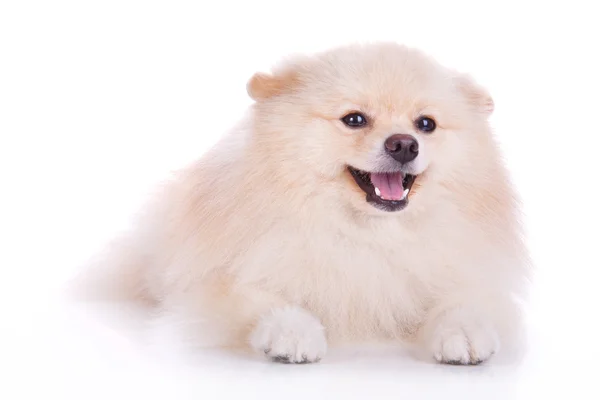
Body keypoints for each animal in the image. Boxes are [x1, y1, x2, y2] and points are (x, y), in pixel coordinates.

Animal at [78, 43, 528, 366]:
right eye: (354, 119)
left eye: (426, 124)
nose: (404, 144)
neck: (367, 234)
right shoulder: (215, 282)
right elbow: (260, 298)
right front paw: (291, 332)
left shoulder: (463, 273)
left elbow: (464, 301)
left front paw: (464, 333)